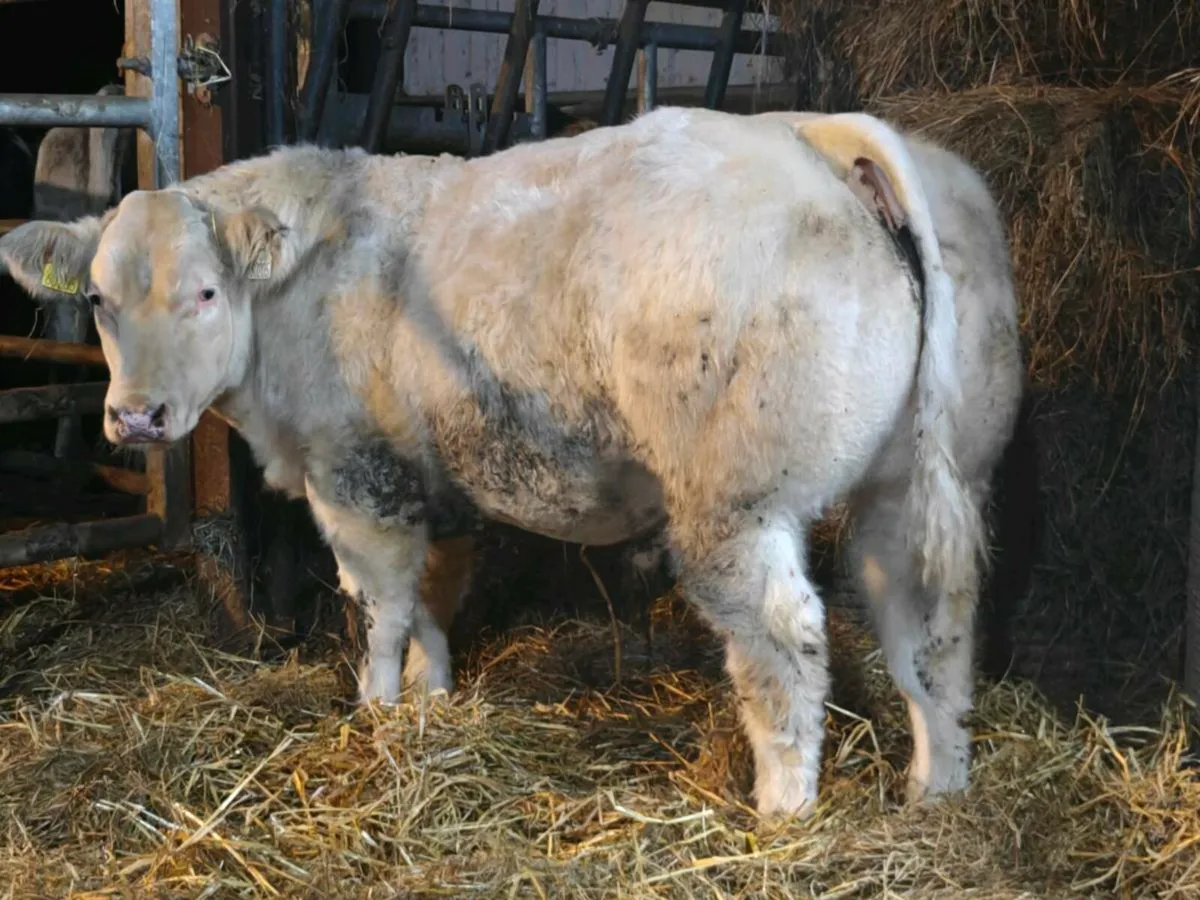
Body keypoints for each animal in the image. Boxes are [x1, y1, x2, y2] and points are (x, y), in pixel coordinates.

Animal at [0, 106, 1007, 819]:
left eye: (206, 293)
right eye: (98, 299)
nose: (135, 416)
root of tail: (814, 136)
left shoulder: (357, 478)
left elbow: (381, 607)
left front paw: (377, 714)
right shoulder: (426, 482)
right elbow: (432, 598)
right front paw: (434, 696)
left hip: (734, 505)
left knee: (785, 638)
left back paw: (782, 810)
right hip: (917, 480)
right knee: (932, 622)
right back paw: (937, 787)